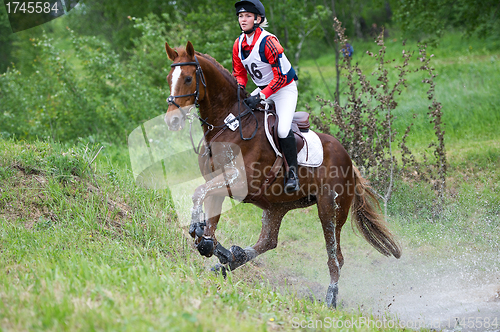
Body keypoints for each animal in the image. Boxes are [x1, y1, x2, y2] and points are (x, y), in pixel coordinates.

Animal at [164, 41, 402, 308]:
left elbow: (198, 198)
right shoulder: (217, 185)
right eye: (169, 78)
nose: (172, 120)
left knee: (335, 256)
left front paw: (209, 238)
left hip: (330, 209)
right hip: (277, 206)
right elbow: (206, 234)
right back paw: (236, 258)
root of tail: (349, 161)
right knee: (269, 240)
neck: (229, 125)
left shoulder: (239, 182)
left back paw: (330, 299)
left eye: (187, 78)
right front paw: (218, 249)